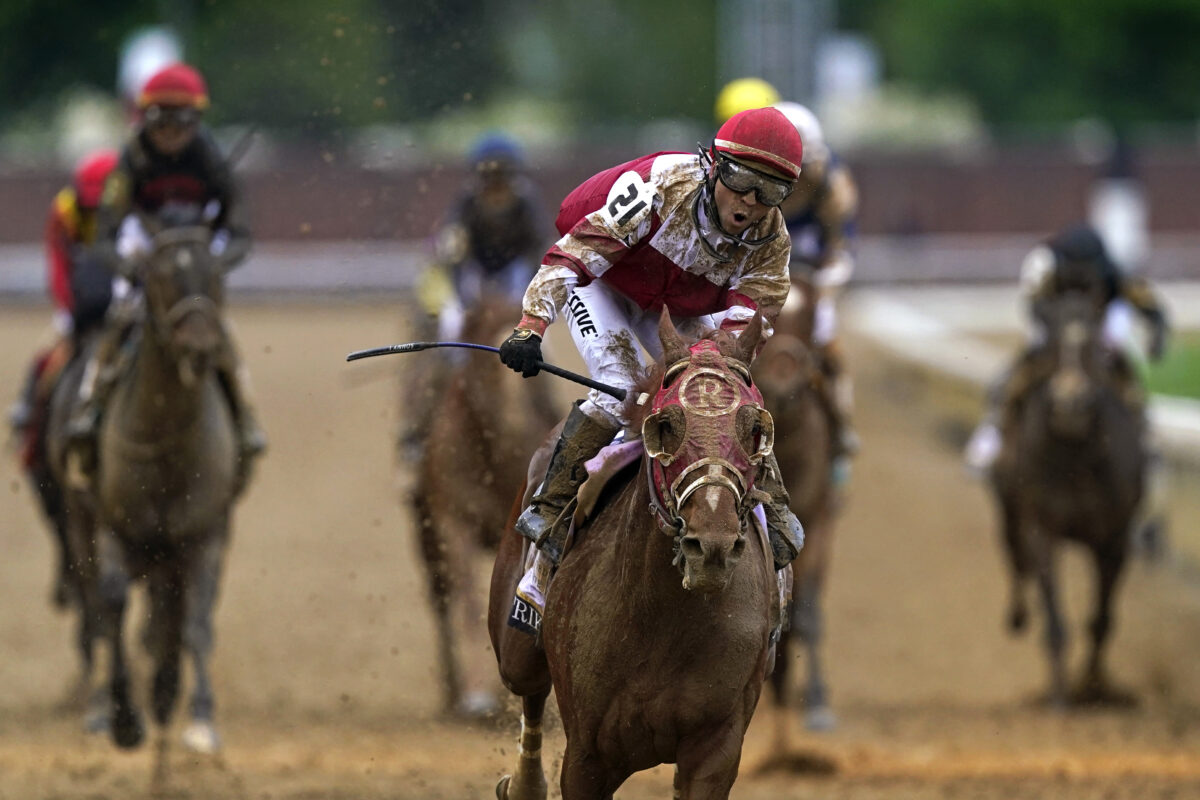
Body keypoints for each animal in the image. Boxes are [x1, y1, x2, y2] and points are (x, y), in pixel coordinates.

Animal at [45, 221, 242, 772]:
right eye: (157, 276)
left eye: (216, 275)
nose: (200, 347)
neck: (164, 438)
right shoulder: (112, 528)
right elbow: (111, 609)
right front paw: (124, 719)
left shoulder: (204, 534)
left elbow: (194, 622)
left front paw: (199, 720)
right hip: (79, 523)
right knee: (96, 612)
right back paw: (101, 708)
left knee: (166, 617)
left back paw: (164, 691)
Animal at [408, 293, 556, 719]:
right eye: (482, 358)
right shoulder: (450, 521)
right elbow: (465, 596)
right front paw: (477, 697)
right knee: (441, 597)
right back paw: (454, 693)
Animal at [487, 311, 777, 800]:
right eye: (666, 425)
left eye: (754, 429)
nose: (712, 544)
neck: (664, 618)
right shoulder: (588, 756)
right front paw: (522, 344)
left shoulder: (715, 750)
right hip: (516, 648)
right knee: (529, 685)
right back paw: (524, 785)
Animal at [988, 291, 1147, 705]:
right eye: (1053, 343)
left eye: (1096, 348)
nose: (1071, 403)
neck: (1076, 458)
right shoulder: (1043, 529)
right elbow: (1056, 619)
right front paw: (1059, 696)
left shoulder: (1114, 539)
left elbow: (1102, 620)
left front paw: (1093, 684)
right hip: (1009, 513)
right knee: (1016, 562)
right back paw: (1017, 616)